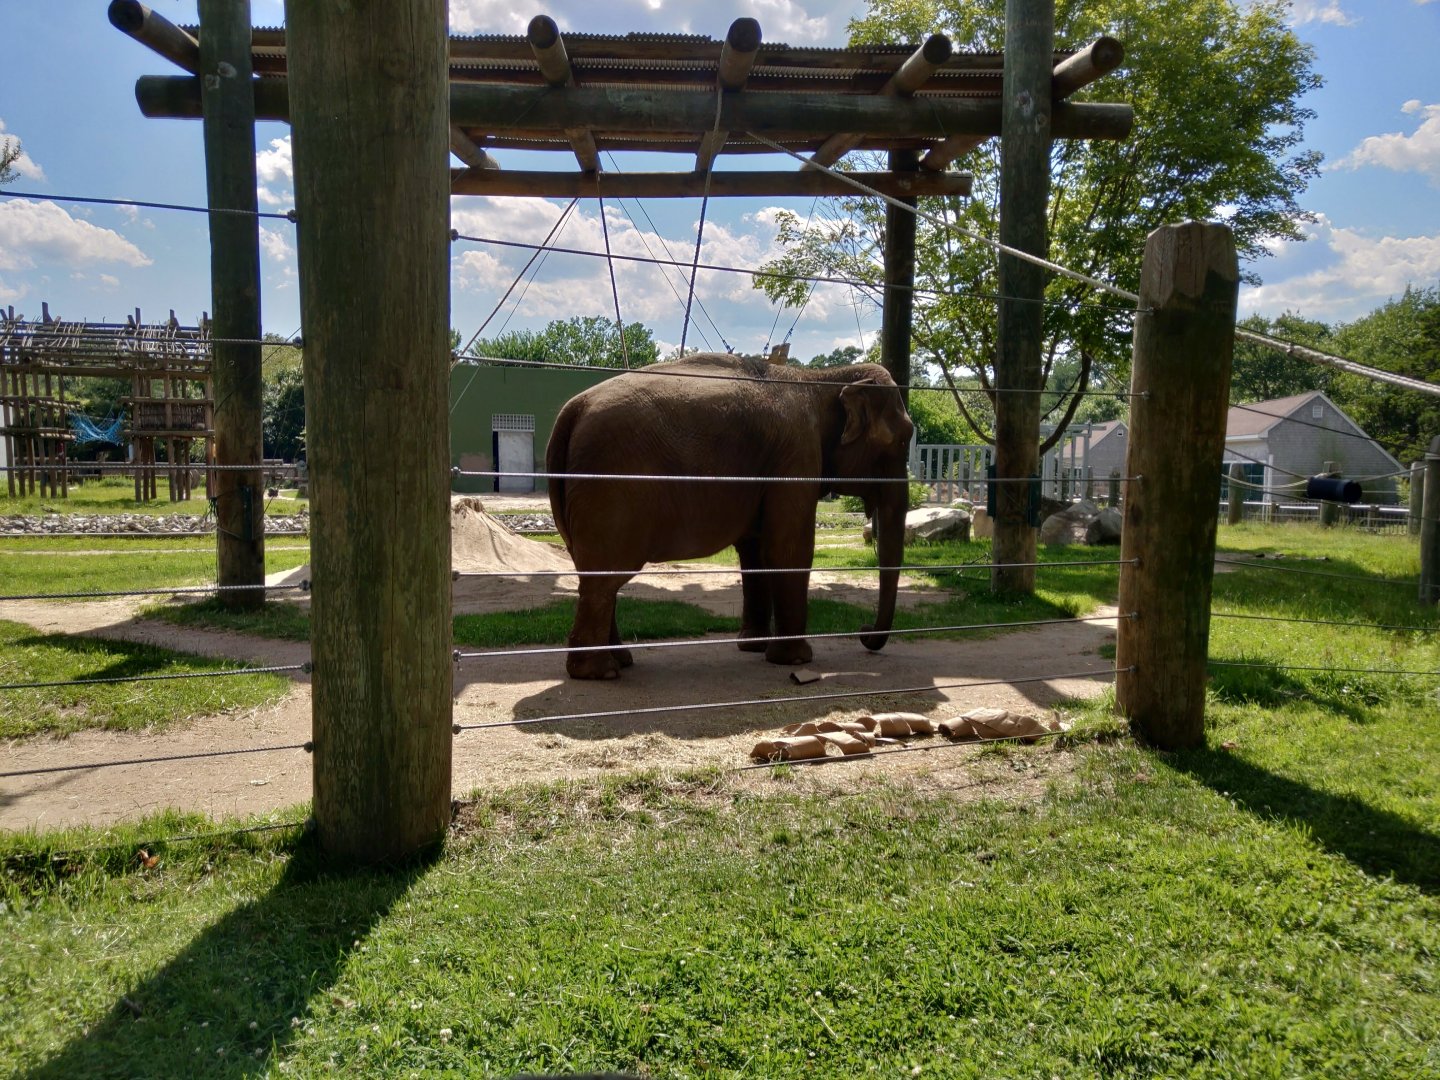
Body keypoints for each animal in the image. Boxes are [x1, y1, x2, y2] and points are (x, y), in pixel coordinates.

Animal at [546, 353, 914, 680]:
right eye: (902, 440)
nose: (864, 633)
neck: (820, 379)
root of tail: (571, 411)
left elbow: (756, 551)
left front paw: (753, 647)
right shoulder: (797, 456)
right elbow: (787, 549)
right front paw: (795, 660)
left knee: (595, 576)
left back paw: (620, 661)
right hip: (610, 487)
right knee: (604, 577)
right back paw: (600, 672)